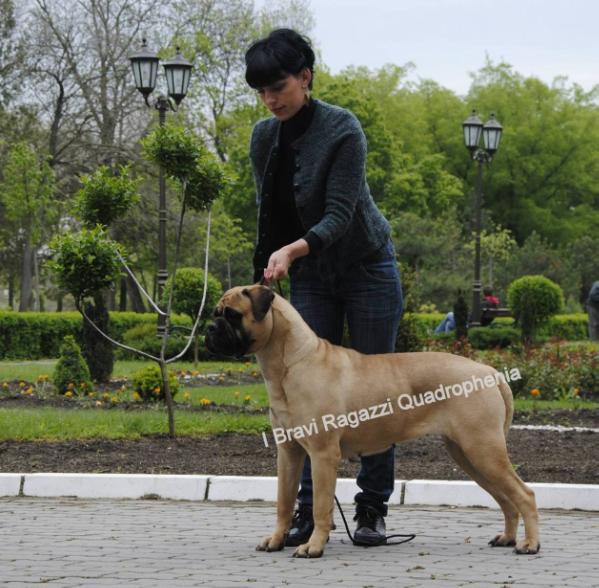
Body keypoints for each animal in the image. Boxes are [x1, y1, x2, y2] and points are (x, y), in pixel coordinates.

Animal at [204, 288, 540, 560]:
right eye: (216, 313)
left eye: (233, 315)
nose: (209, 328)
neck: (288, 363)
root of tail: (489, 372)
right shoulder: (289, 453)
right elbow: (284, 502)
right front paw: (277, 540)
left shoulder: (323, 455)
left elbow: (322, 506)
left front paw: (314, 546)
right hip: (469, 455)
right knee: (506, 498)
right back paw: (508, 538)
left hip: (482, 449)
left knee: (524, 495)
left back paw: (529, 544)